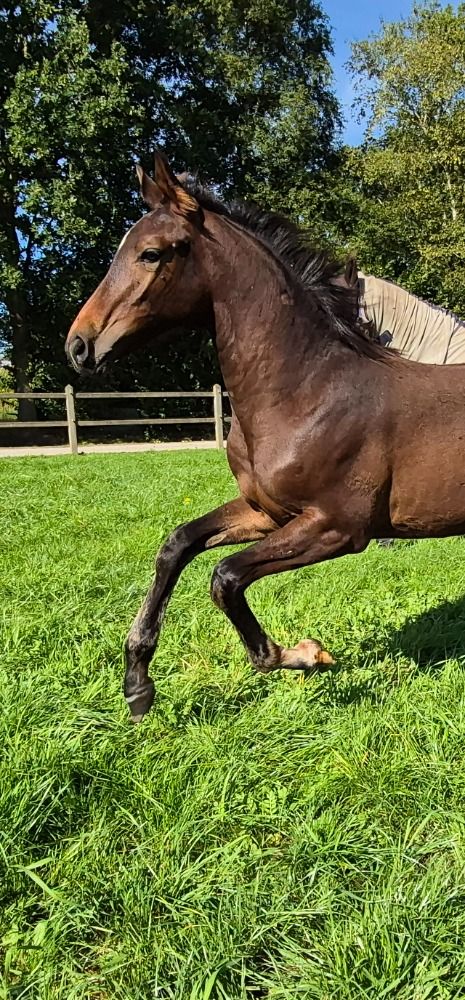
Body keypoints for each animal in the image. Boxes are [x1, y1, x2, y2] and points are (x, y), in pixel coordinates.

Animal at [66, 152, 465, 722]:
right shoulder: (267, 512)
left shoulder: (337, 527)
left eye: (151, 253)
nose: (79, 345)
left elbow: (225, 577)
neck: (306, 390)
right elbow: (177, 545)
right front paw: (137, 685)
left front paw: (303, 654)